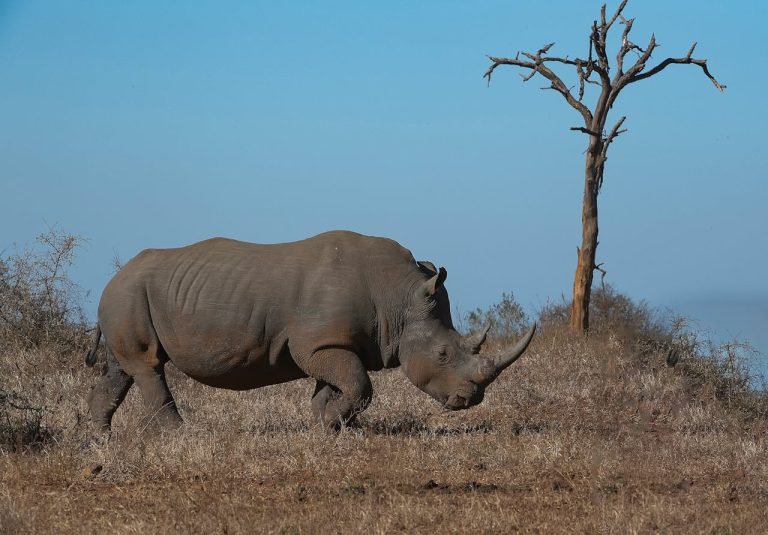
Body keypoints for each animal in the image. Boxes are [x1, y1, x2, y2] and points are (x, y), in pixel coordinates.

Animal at [85, 231, 536, 432]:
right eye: (443, 354)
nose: (469, 401)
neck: (399, 298)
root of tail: (112, 278)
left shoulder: (329, 341)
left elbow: (335, 385)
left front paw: (329, 425)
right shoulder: (317, 342)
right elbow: (359, 385)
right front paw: (336, 422)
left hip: (127, 296)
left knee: (120, 370)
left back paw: (96, 441)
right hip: (129, 294)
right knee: (147, 365)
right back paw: (179, 436)